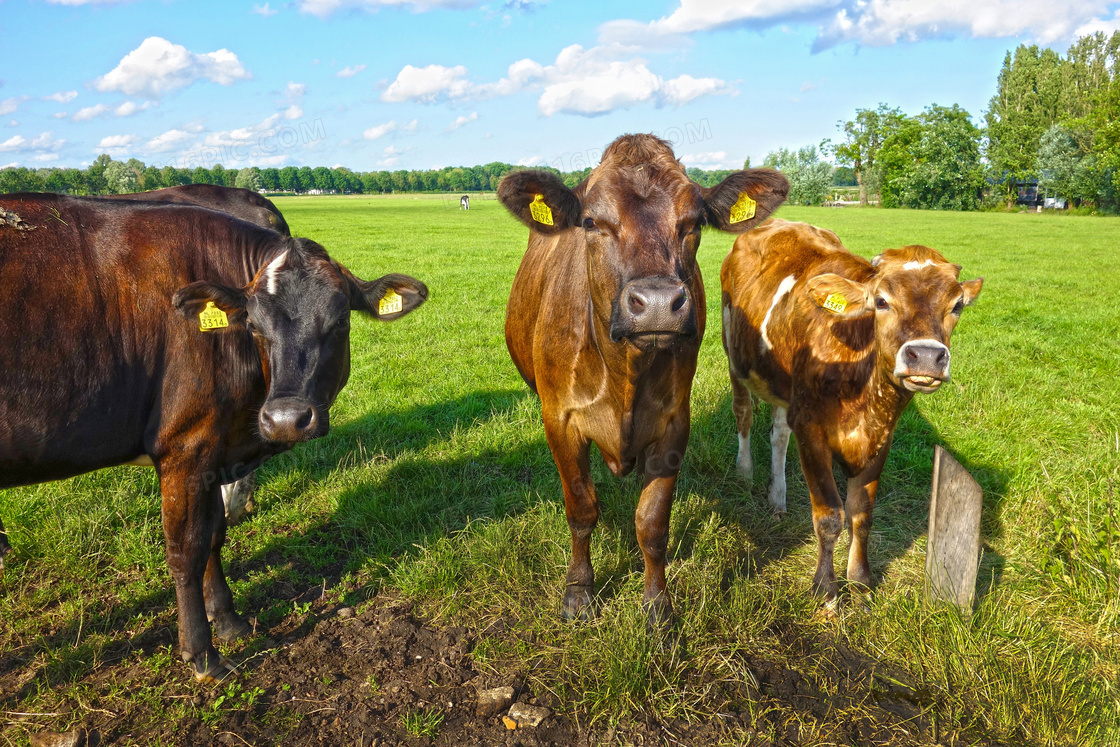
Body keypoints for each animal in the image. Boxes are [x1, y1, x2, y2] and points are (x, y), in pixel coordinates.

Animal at [0, 191, 427, 676]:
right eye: (254, 326)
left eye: (340, 321)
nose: (285, 418)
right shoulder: (185, 447)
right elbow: (186, 549)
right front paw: (201, 652)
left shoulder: (212, 451)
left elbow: (214, 535)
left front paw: (227, 619)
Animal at [499, 134, 788, 627]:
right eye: (591, 222)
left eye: (693, 223)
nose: (656, 305)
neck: (624, 376)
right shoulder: (561, 420)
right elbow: (581, 509)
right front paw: (579, 591)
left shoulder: (673, 424)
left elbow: (652, 523)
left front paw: (657, 605)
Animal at [721, 220, 985, 600]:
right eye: (882, 301)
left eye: (957, 305)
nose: (925, 356)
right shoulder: (811, 428)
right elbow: (830, 516)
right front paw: (825, 588)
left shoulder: (881, 436)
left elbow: (861, 514)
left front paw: (859, 580)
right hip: (735, 357)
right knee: (744, 412)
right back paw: (744, 472)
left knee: (779, 435)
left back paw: (778, 496)